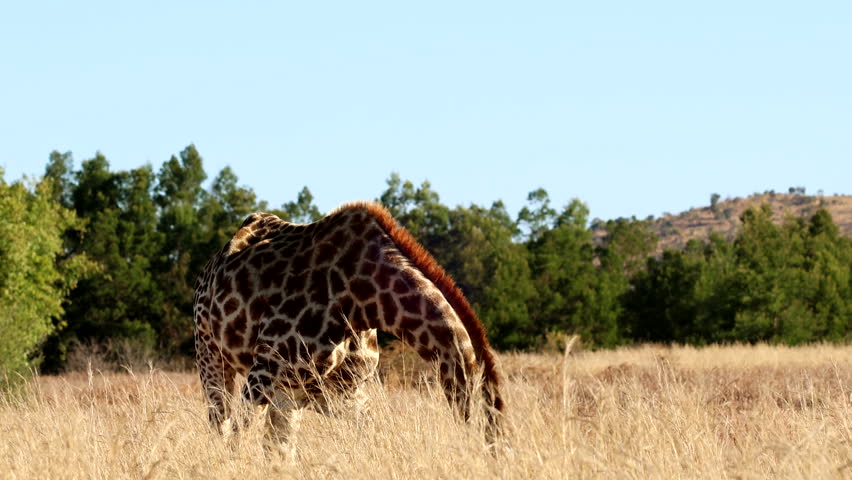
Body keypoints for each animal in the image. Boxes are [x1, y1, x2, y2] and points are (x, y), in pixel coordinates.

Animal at [193, 201, 504, 442]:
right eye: (492, 415)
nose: (492, 451)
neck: (365, 301)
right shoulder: (264, 369)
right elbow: (237, 439)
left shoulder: (339, 391)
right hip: (210, 354)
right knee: (220, 424)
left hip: (286, 391)